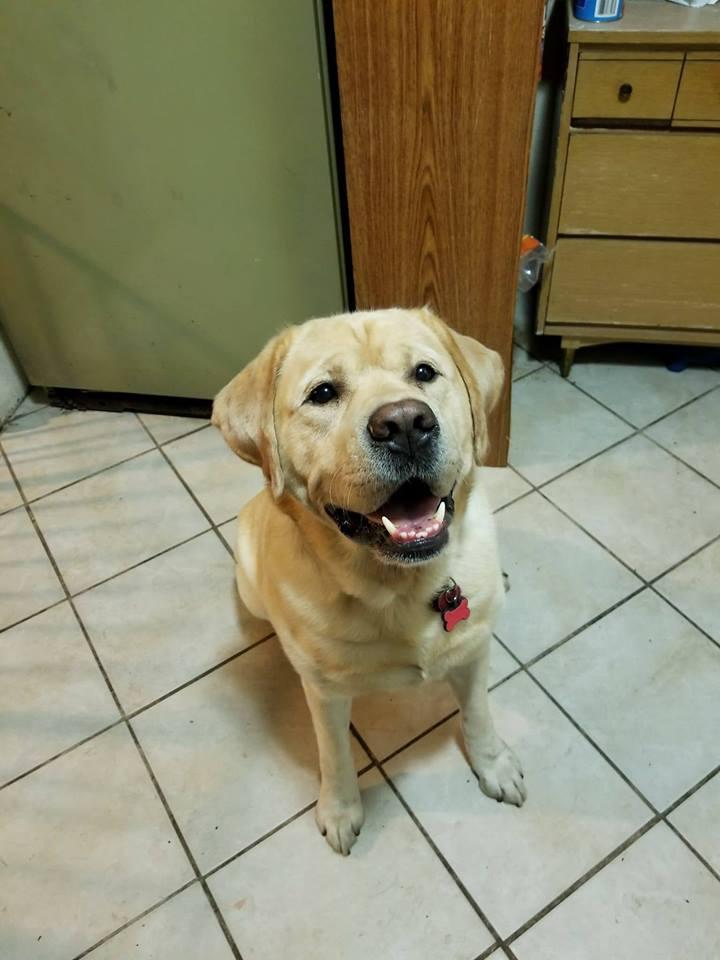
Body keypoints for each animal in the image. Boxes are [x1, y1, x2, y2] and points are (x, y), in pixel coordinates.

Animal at [211, 306, 524, 856]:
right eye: (322, 393)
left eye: (424, 373)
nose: (406, 423)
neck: (402, 586)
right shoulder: (325, 693)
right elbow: (333, 754)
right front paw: (340, 811)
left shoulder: (472, 652)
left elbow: (479, 714)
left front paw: (494, 765)